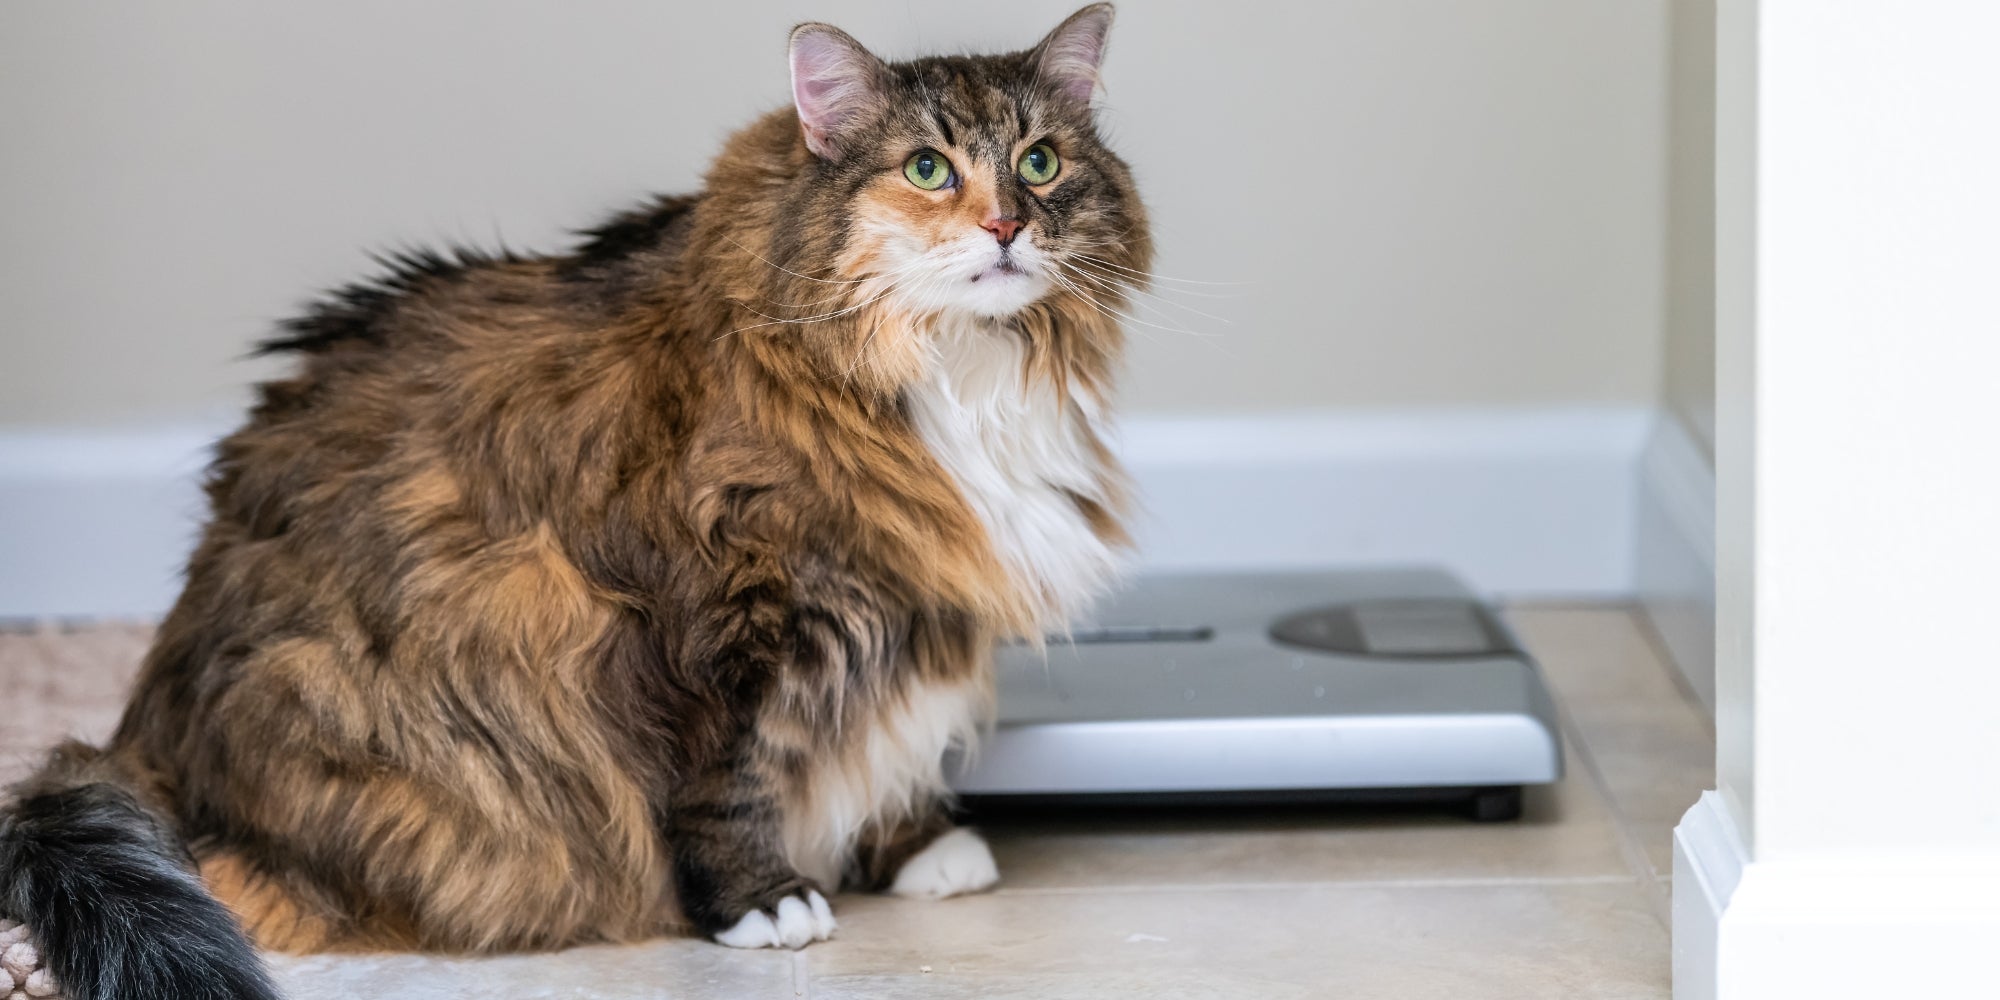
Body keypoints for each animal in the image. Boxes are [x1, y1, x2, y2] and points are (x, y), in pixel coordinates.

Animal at [0, 3, 1152, 996]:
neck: (958, 371)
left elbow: (888, 728)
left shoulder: (907, 606)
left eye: (1040, 160)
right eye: (927, 168)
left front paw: (911, 848)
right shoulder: (713, 617)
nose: (1006, 224)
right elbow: (730, 781)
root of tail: (140, 733)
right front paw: (764, 904)